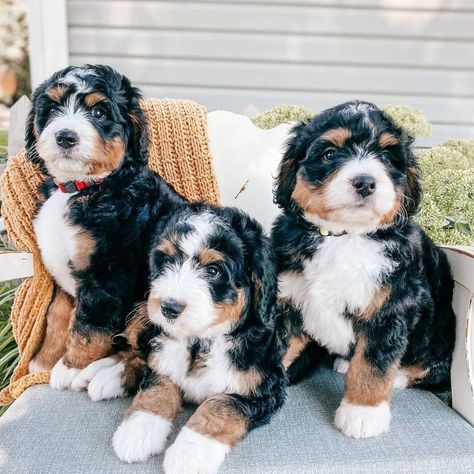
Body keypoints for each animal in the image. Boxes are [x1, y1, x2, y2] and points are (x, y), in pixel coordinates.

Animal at [25, 64, 185, 388]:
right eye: (53, 108)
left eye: (99, 112)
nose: (65, 137)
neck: (81, 188)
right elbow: (57, 315)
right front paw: (44, 361)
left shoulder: (106, 273)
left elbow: (88, 326)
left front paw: (71, 367)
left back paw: (101, 376)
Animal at [274, 102, 456, 438]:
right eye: (329, 154)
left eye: (386, 158)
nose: (365, 182)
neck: (344, 236)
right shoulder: (289, 298)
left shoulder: (389, 308)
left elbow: (373, 364)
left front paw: (363, 414)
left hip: (439, 329)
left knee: (432, 367)